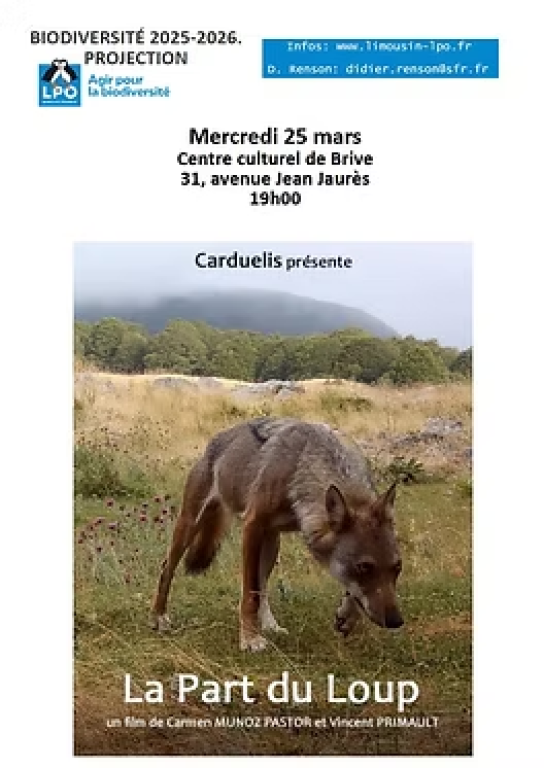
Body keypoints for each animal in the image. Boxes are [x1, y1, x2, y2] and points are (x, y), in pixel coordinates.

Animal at [150, 417, 403, 651]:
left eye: (397, 567)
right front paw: (250, 639)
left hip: (272, 542)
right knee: (166, 567)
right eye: (364, 567)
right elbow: (249, 594)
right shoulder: (252, 525)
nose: (396, 621)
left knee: (263, 587)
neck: (302, 464)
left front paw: (347, 616)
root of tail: (217, 439)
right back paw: (159, 617)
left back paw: (272, 626)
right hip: (190, 525)